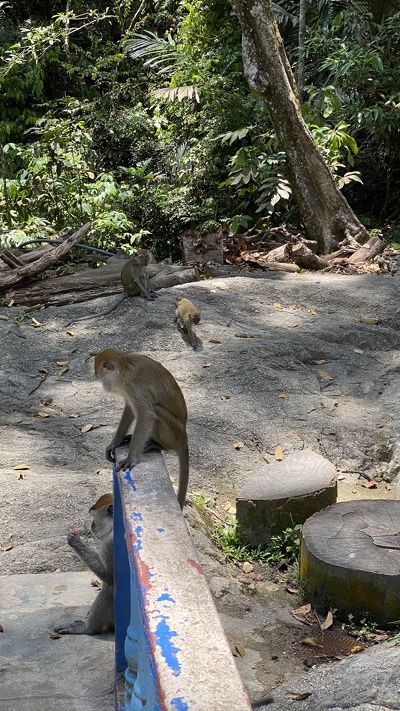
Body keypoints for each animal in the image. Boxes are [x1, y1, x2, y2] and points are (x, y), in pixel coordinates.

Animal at [53, 492, 114, 636]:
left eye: (94, 517)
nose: (91, 525)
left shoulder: (110, 543)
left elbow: (109, 576)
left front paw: (75, 541)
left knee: (109, 589)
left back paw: (89, 629)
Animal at [94, 348, 189, 508]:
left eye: (101, 378)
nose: (103, 386)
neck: (124, 367)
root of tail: (183, 434)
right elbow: (130, 409)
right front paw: (114, 443)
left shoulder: (131, 383)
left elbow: (146, 415)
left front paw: (131, 459)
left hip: (173, 432)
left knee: (156, 410)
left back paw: (157, 444)